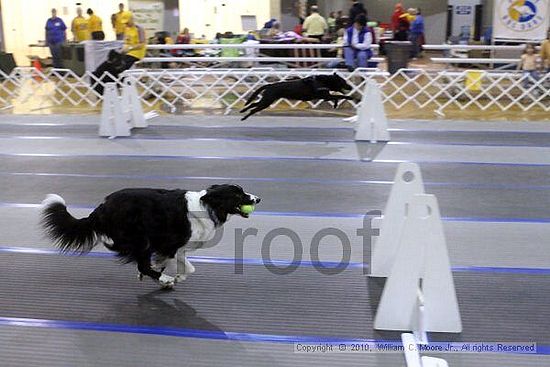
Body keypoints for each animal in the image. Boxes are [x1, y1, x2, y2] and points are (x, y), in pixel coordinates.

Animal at [41, 185, 260, 288]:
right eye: (238, 195)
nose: (258, 198)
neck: (207, 205)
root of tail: (102, 207)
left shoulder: (177, 247)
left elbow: (185, 265)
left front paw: (172, 273)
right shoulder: (170, 243)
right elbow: (185, 266)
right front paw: (171, 276)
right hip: (140, 238)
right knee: (140, 262)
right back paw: (164, 279)